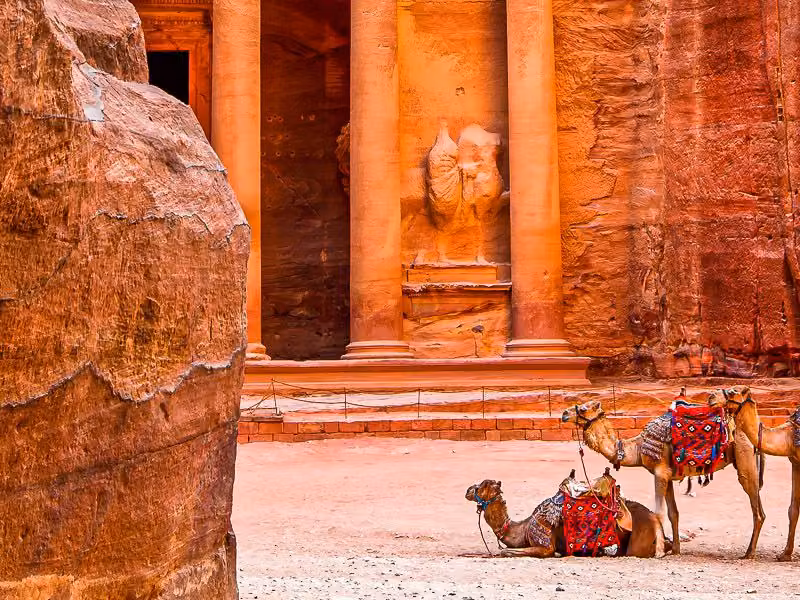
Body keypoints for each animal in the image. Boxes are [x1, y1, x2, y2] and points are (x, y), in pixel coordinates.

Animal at [465, 470, 670, 558]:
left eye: (483, 485)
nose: (468, 490)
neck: (523, 526)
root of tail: (655, 519)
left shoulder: (544, 544)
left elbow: (507, 551)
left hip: (638, 541)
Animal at [561, 398, 765, 558]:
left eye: (584, 408)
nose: (564, 414)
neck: (638, 447)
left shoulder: (659, 473)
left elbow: (658, 512)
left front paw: (659, 551)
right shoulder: (668, 476)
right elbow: (673, 513)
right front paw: (675, 549)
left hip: (744, 453)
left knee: (757, 509)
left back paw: (749, 553)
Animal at [718, 386, 799, 561]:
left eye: (733, 391)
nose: (710, 398)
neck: (789, 435)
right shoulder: (795, 462)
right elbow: (793, 509)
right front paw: (785, 554)